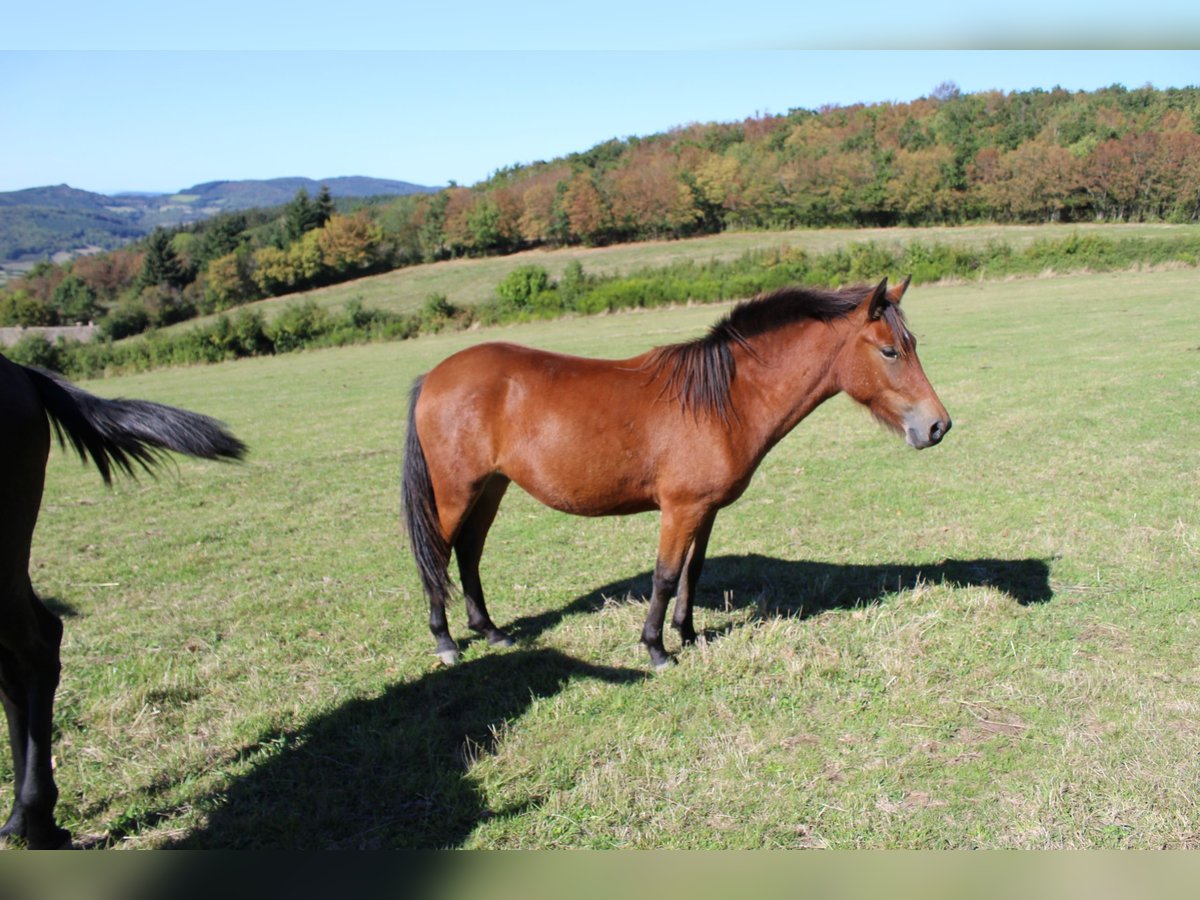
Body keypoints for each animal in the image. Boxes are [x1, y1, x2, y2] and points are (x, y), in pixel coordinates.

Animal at [408, 278, 950, 672]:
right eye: (889, 351)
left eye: (912, 344)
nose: (937, 426)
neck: (724, 399)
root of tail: (434, 375)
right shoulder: (679, 508)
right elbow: (665, 575)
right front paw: (656, 648)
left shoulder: (704, 510)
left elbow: (694, 570)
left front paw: (687, 634)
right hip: (457, 492)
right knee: (438, 553)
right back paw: (445, 641)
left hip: (491, 487)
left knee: (469, 552)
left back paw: (491, 630)